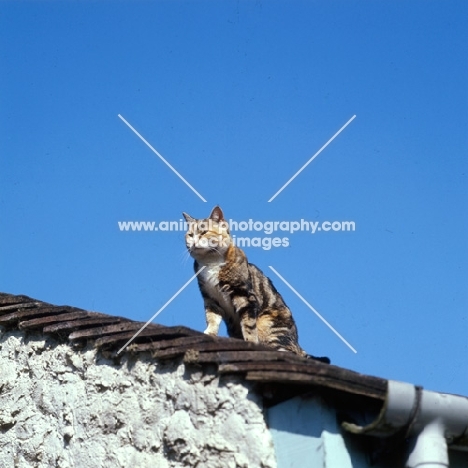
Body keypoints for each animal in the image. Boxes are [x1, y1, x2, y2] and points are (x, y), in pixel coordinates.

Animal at [183, 204, 330, 362]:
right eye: (190, 235)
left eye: (204, 232)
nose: (193, 242)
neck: (210, 262)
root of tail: (298, 344)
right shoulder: (210, 297)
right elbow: (212, 317)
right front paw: (209, 333)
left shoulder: (245, 296)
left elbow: (248, 325)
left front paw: (251, 342)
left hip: (267, 325)